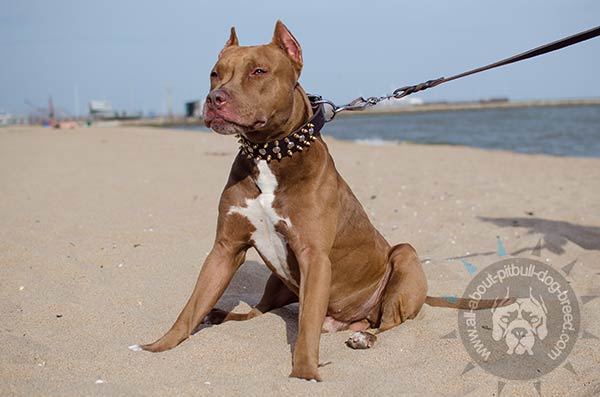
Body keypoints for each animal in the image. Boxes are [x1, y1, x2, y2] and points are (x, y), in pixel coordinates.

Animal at [138, 20, 476, 380]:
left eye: (258, 71)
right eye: (215, 73)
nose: (214, 98)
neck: (269, 154)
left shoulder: (314, 257)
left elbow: (307, 324)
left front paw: (304, 373)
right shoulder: (224, 249)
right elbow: (191, 305)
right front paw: (159, 346)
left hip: (404, 256)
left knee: (387, 323)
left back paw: (365, 337)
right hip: (277, 281)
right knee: (257, 312)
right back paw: (222, 315)